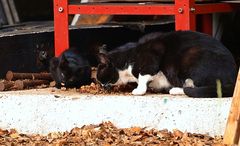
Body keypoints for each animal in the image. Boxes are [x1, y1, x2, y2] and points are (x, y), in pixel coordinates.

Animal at [96, 30, 237, 97]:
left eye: (100, 76)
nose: (101, 86)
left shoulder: (154, 53)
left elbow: (143, 74)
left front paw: (138, 90)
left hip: (192, 55)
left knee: (198, 87)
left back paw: (175, 89)